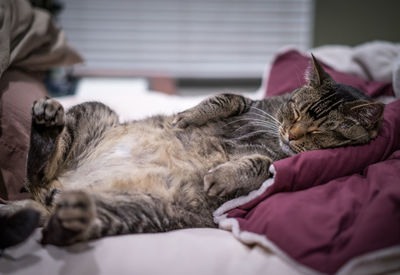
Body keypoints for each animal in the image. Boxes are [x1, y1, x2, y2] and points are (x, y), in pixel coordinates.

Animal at [2, 55, 384, 247]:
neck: (276, 134)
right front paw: (184, 117)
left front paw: (222, 177)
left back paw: (70, 215)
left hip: (133, 213)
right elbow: (229, 97)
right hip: (98, 110)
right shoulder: (252, 104)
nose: (291, 133)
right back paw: (48, 123)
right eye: (295, 110)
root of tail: (49, 198)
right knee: (35, 174)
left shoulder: (279, 165)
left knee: (53, 233)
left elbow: (262, 163)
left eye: (318, 131)